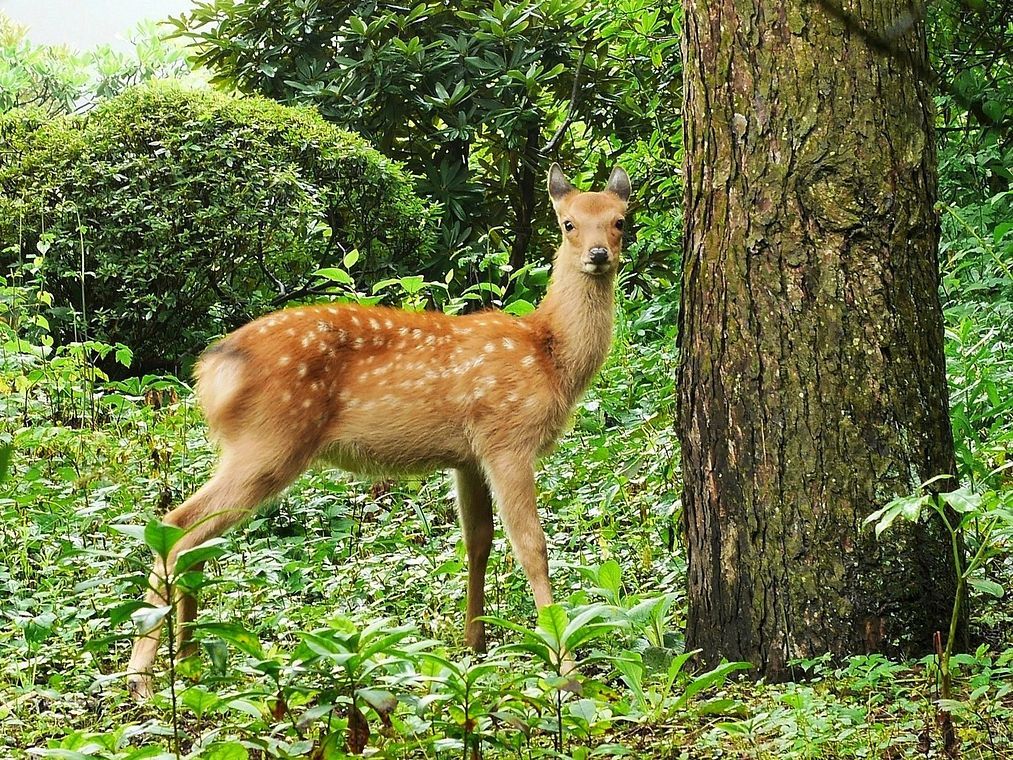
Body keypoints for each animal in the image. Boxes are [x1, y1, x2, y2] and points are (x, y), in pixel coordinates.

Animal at [126, 164, 632, 701]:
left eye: (619, 221)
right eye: (568, 223)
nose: (598, 255)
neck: (548, 353)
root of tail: (211, 369)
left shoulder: (468, 456)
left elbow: (478, 542)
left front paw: (474, 646)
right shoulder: (507, 437)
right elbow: (532, 547)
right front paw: (566, 671)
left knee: (194, 533)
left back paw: (189, 656)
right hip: (270, 441)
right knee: (179, 524)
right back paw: (143, 674)